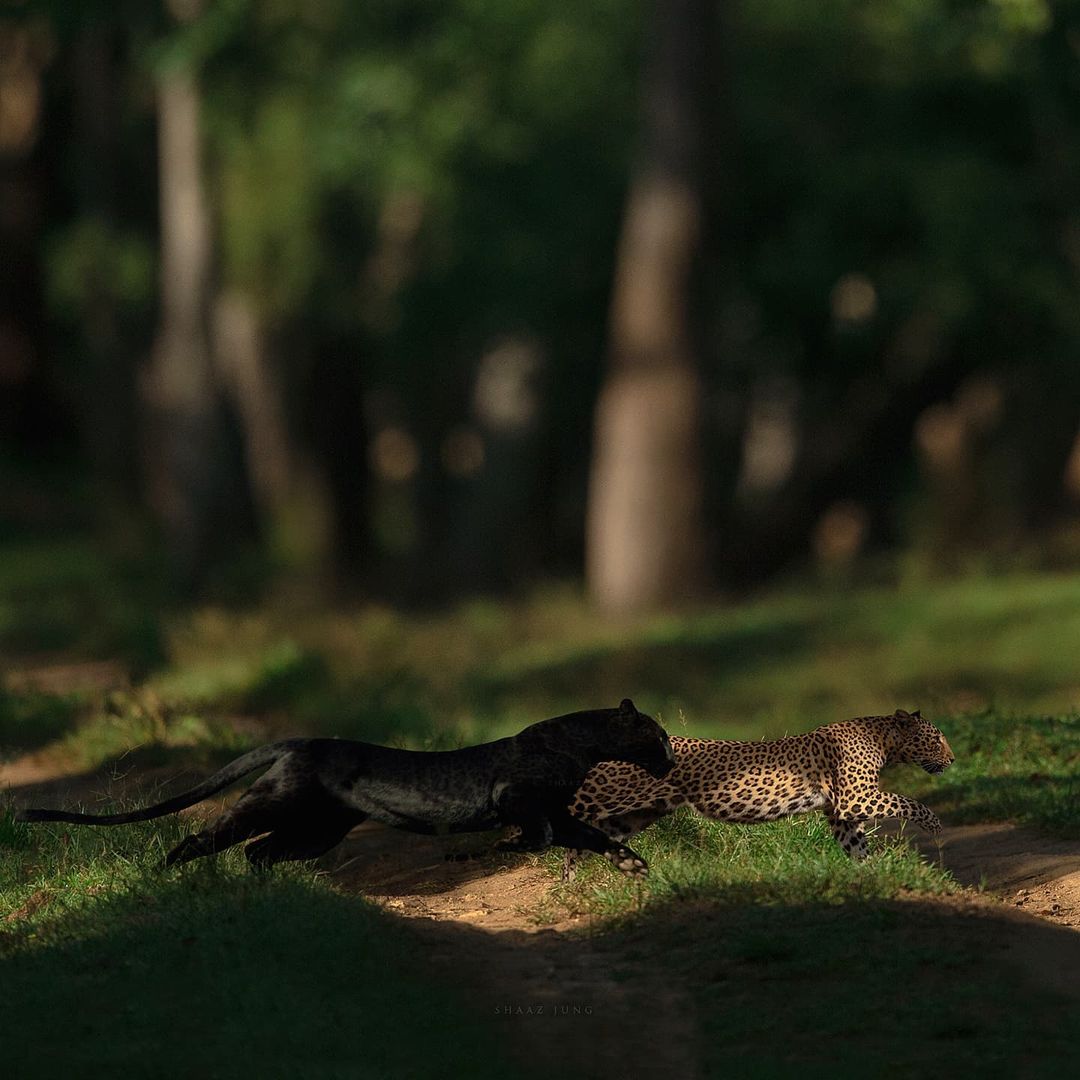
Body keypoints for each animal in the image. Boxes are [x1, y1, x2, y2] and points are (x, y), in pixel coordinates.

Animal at [565, 704, 954, 881]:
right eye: (936, 739)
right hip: (597, 801)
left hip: (631, 817)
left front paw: (872, 872)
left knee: (581, 846)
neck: (884, 740)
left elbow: (856, 844)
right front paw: (936, 828)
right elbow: (909, 803)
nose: (951, 759)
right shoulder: (856, 798)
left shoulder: (840, 812)